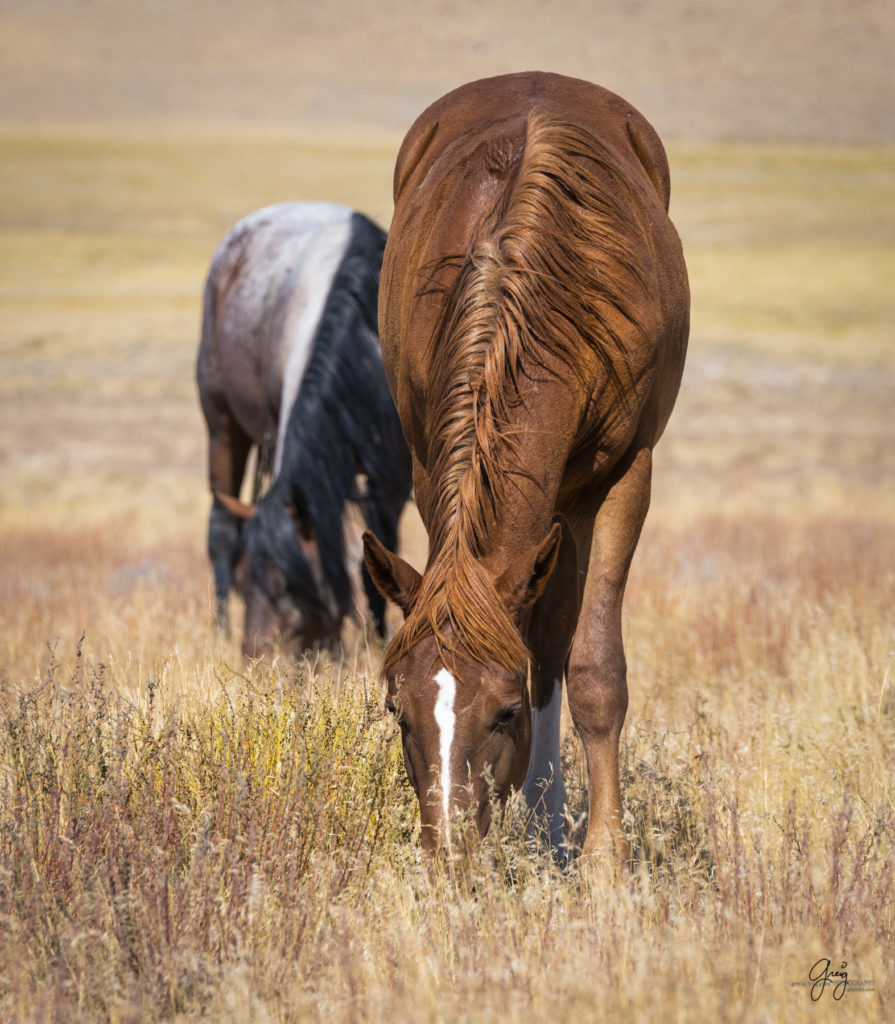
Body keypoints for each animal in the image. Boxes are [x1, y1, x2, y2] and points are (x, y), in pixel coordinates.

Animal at [198, 203, 411, 659]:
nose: (255, 661)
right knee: (220, 528)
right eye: (243, 583)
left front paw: (377, 641)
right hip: (221, 423)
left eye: (285, 586)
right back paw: (219, 630)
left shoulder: (391, 481)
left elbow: (377, 555)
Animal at [362, 70, 692, 864]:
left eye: (505, 712)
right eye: (397, 711)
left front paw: (604, 863)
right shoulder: (431, 473)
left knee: (555, 643)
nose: (448, 855)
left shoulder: (621, 477)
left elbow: (594, 669)